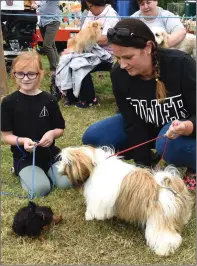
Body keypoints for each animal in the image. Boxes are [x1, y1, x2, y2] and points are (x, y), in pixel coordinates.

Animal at [56, 147, 193, 256]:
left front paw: (88, 215)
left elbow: (94, 209)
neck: (94, 165)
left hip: (159, 221)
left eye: (66, 162)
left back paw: (164, 250)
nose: (57, 169)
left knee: (169, 238)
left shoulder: (98, 198)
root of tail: (167, 188)